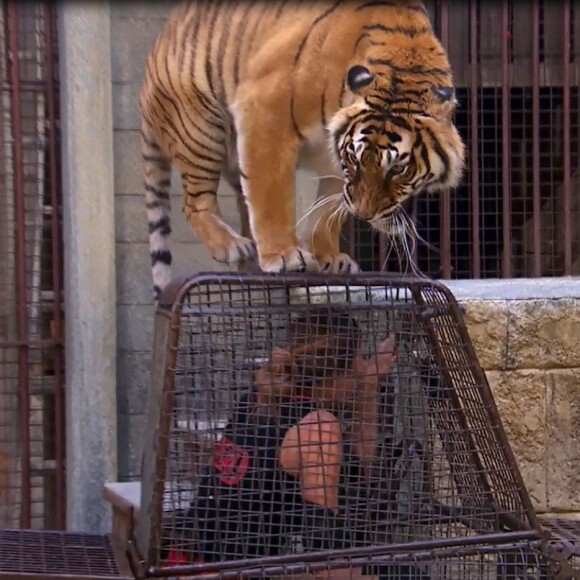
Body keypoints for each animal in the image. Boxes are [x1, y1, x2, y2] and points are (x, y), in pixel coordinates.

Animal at [142, 0, 466, 300]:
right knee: (194, 202)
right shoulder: (265, 112)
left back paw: (251, 255)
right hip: (201, 127)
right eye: (356, 159)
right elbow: (271, 198)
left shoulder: (335, 156)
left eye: (398, 168)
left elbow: (328, 210)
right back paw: (232, 245)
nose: (364, 215)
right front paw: (285, 256)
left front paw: (329, 257)